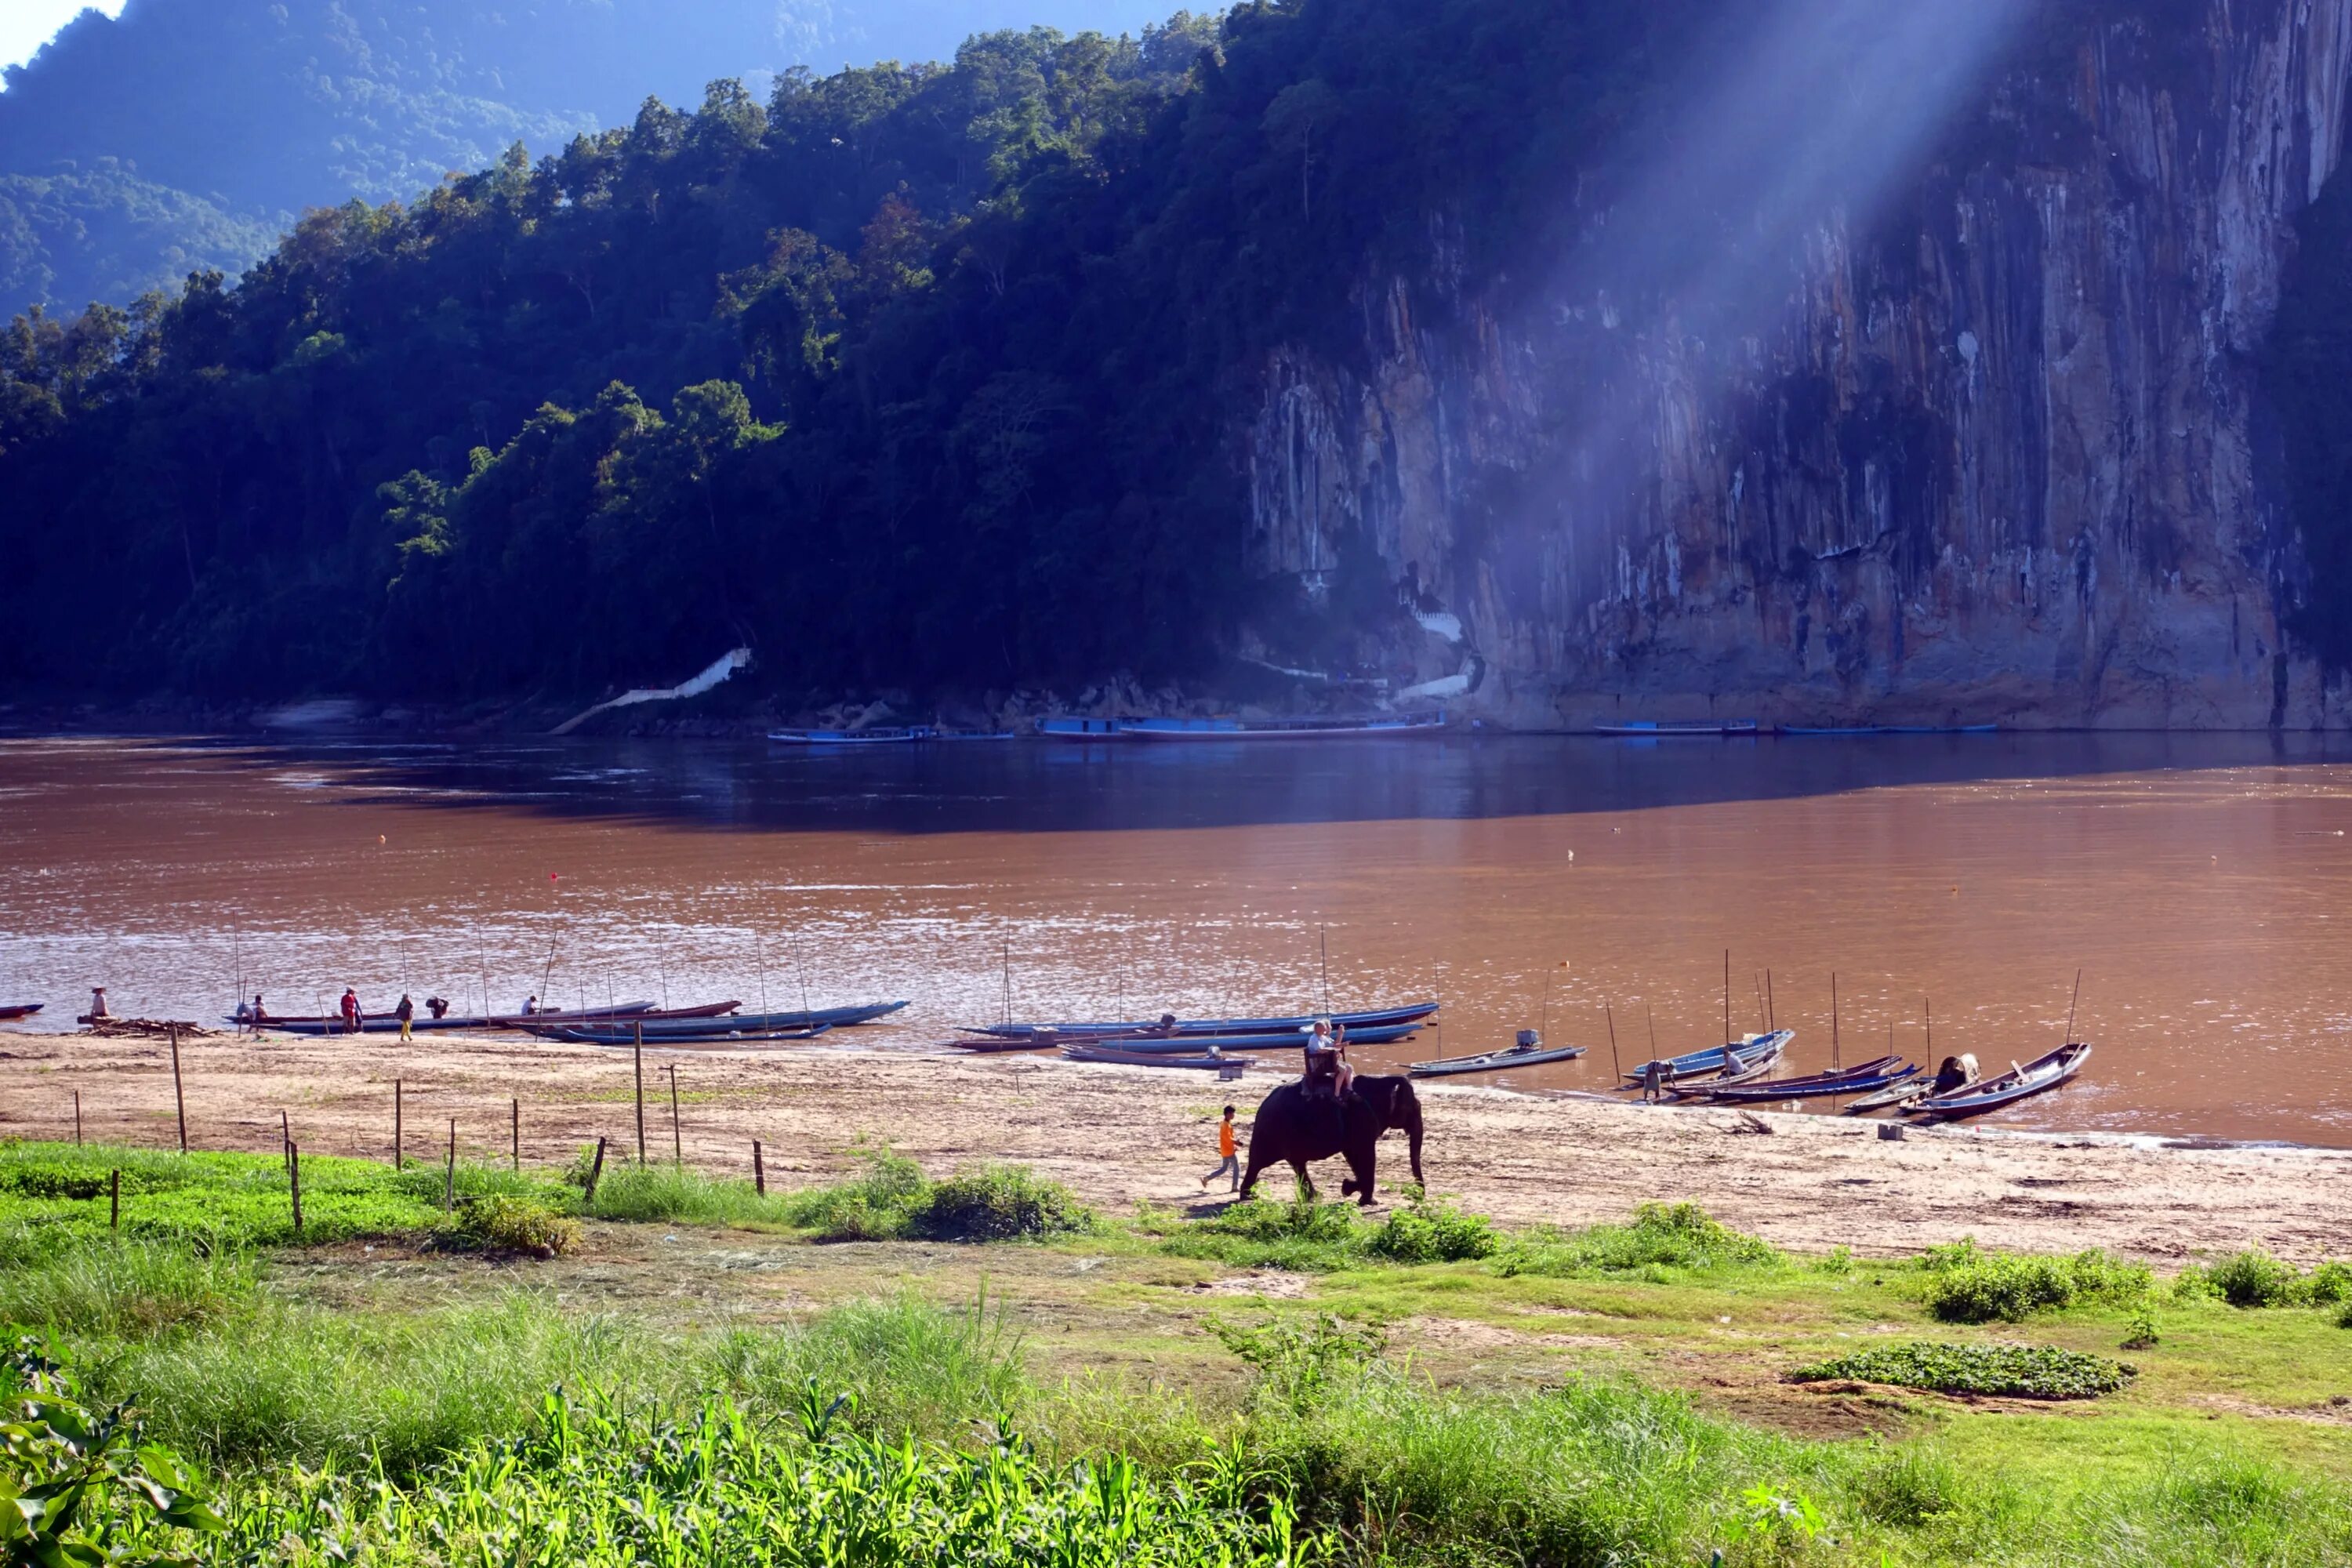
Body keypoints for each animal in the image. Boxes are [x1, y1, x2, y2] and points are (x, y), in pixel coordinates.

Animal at [1242, 1072, 1421, 1213]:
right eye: (1414, 1109)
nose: (1417, 1198)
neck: (1384, 1081)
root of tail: (1264, 1103)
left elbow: (1353, 1155)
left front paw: (1348, 1188)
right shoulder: (1363, 1118)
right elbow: (1365, 1155)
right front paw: (1364, 1199)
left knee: (1296, 1164)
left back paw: (1312, 1197)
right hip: (1272, 1132)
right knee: (1259, 1163)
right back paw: (1250, 1196)